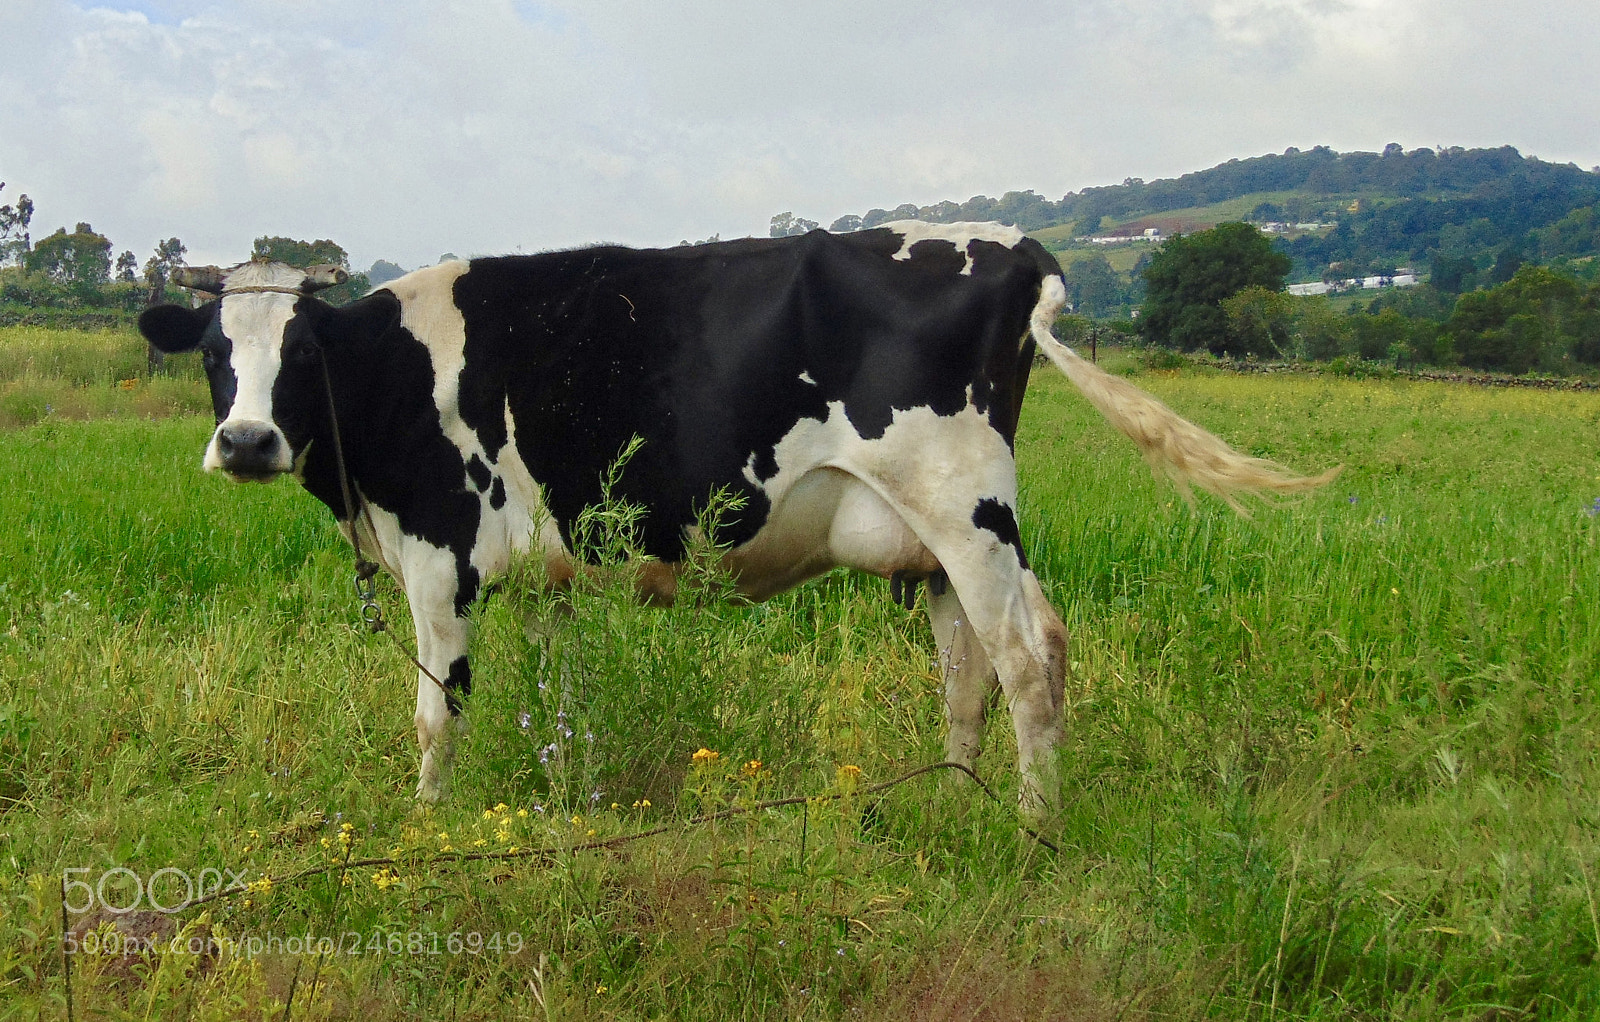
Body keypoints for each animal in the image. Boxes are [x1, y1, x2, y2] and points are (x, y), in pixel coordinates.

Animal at [138, 223, 1333, 815]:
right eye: (213, 354)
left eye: (300, 351)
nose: (246, 441)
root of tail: (1012, 244)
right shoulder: (548, 576)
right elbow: (551, 706)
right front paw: (563, 801)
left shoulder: (442, 551)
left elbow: (440, 710)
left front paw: (426, 823)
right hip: (944, 533)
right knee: (971, 668)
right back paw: (953, 805)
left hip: (965, 501)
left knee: (1029, 656)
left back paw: (1033, 829)